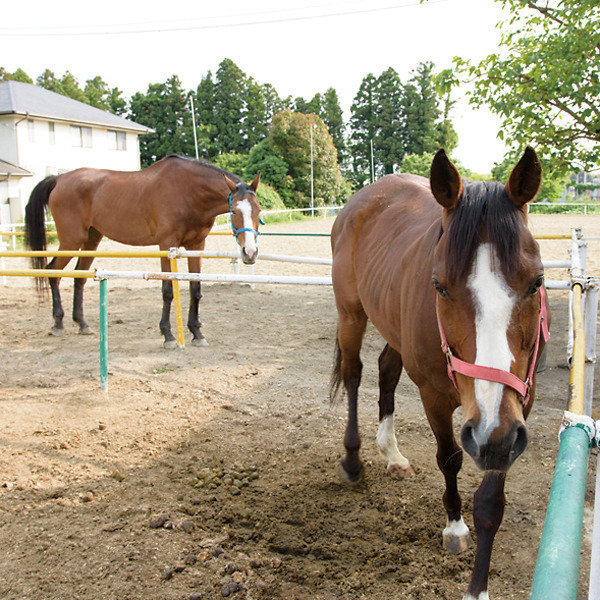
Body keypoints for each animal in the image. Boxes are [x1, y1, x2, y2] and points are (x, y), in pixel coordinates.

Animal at [24, 155, 258, 346]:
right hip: (71, 242)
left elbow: (195, 289)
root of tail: (59, 179)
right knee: (52, 272)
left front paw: (196, 332)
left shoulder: (196, 245)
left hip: (91, 241)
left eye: (258, 209)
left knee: (79, 277)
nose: (250, 252)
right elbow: (167, 290)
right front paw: (168, 335)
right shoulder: (166, 244)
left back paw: (82, 323)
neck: (188, 191)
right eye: (234, 211)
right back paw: (58, 323)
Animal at [330, 146, 552, 600]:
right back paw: (354, 459)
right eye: (440, 286)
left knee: (386, 371)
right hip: (351, 314)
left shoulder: (514, 412)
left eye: (536, 281)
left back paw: (392, 453)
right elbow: (449, 459)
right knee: (355, 373)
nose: (488, 432)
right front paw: (454, 526)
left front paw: (478, 588)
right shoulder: (435, 397)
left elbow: (491, 502)